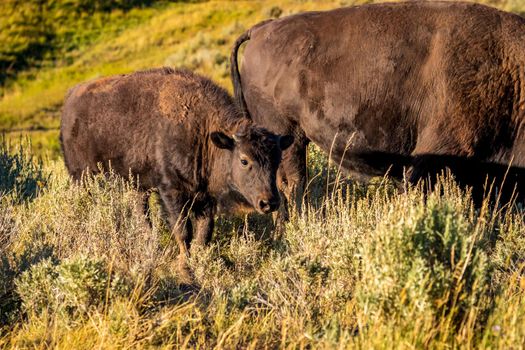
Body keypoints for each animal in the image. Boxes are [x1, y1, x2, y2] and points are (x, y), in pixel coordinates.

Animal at [60, 67, 294, 260]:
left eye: (277, 160)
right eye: (244, 160)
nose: (269, 202)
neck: (203, 132)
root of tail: (70, 99)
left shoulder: (204, 198)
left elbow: (204, 232)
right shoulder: (172, 191)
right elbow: (183, 231)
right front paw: (186, 261)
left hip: (136, 186)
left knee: (141, 214)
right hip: (83, 177)